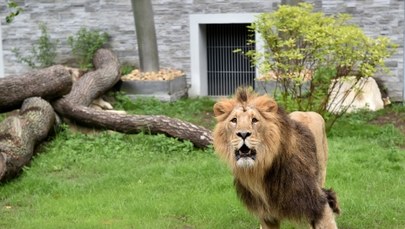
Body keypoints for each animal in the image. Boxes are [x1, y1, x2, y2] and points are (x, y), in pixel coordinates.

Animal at [213, 88, 340, 229]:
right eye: (234, 120)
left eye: (255, 120)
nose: (243, 134)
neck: (259, 171)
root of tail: (308, 112)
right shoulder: (266, 214)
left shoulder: (317, 201)